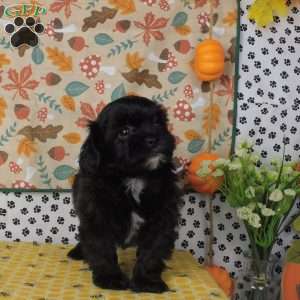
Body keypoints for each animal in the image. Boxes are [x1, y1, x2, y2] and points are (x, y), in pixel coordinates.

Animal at [67, 95, 180, 292]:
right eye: (124, 132)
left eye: (157, 122)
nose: (153, 138)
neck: (133, 176)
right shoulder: (96, 215)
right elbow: (101, 248)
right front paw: (110, 279)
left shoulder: (162, 217)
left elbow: (153, 250)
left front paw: (146, 281)